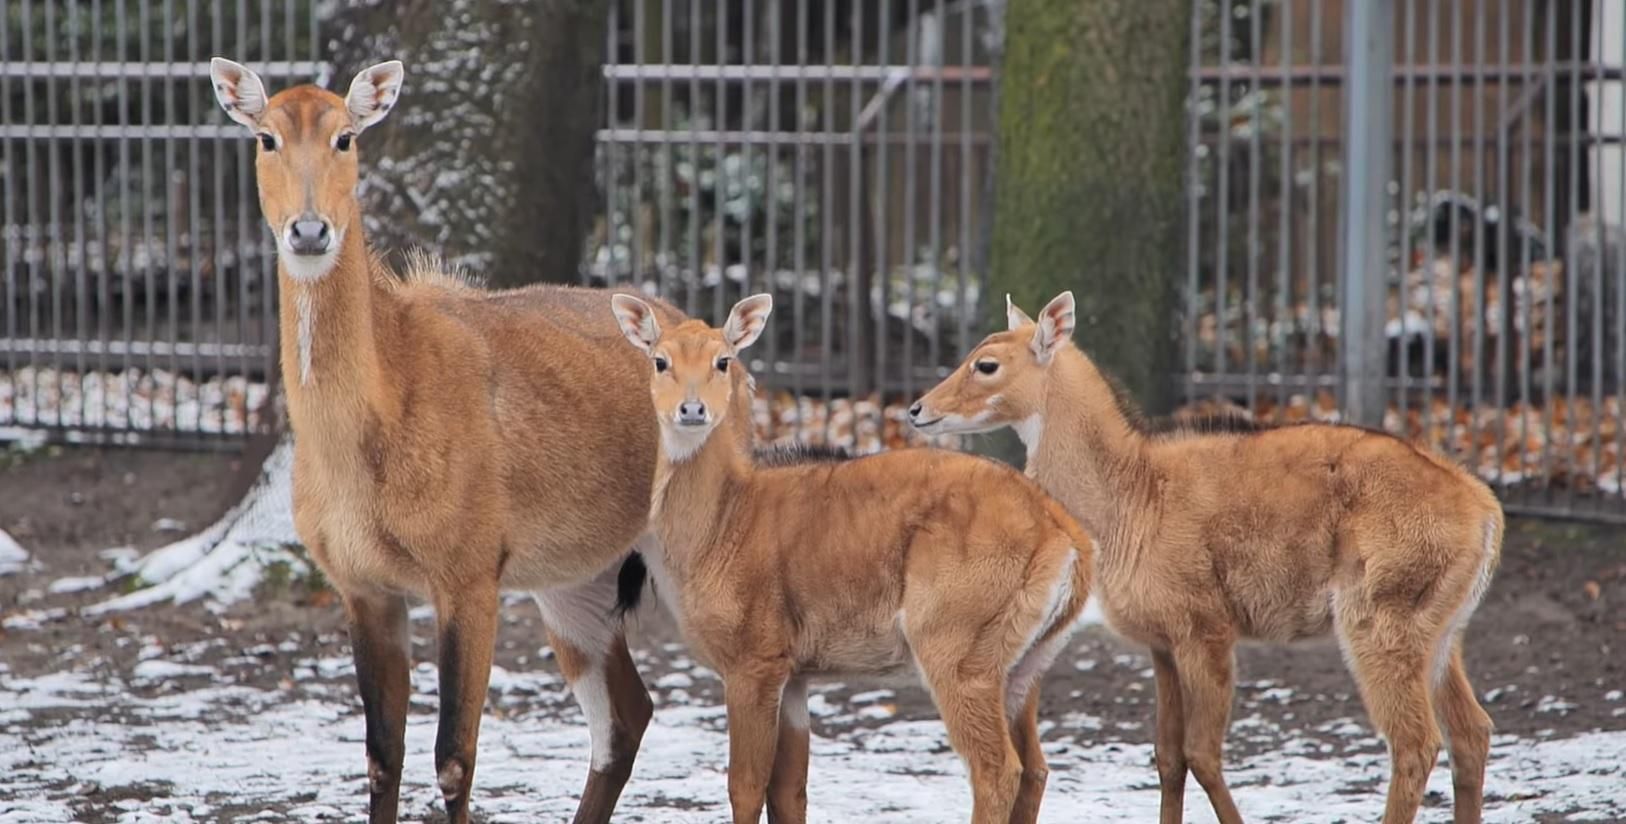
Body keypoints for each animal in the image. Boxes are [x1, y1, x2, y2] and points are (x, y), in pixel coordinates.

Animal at [208, 59, 686, 824]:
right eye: (266, 137)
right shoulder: (364, 587)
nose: (309, 231)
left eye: (345, 136)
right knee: (626, 715)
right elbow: (382, 756)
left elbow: (454, 759)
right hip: (571, 583)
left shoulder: (468, 577)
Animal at [614, 295, 1099, 824]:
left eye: (723, 360)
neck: (721, 523)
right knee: (1036, 768)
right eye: (659, 360)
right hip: (1027, 664)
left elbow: (744, 785)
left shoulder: (753, 661)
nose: (692, 409)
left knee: (997, 770)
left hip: (958, 650)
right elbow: (789, 789)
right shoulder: (795, 673)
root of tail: (1065, 534)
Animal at [910, 292, 1502, 824]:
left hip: (1379, 625)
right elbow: (1169, 759)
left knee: (1415, 744)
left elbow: (1204, 756)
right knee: (1472, 732)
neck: (1131, 495)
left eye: (986, 364)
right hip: (1441, 635)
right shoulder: (1163, 644)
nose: (916, 410)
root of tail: (1483, 507)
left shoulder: (1207, 630)